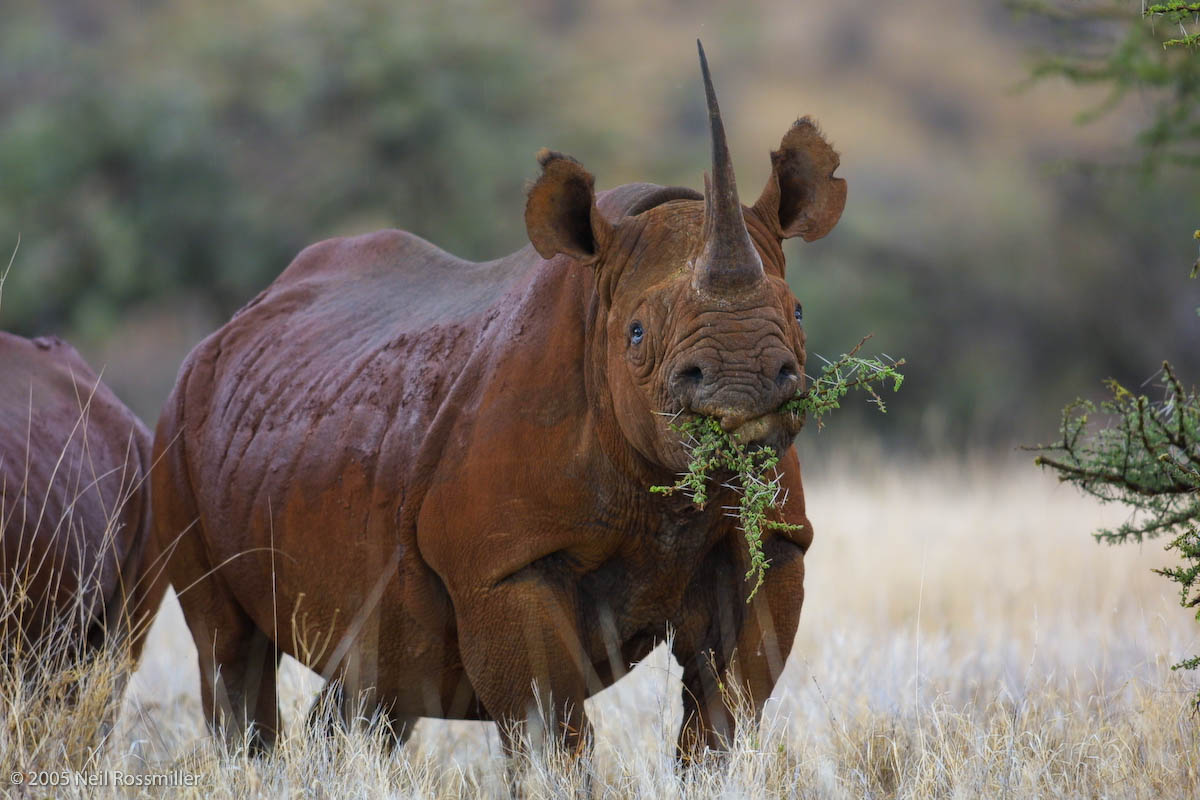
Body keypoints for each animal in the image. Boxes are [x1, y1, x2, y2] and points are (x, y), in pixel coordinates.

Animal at [151, 43, 845, 758]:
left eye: (797, 311)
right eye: (636, 334)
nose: (744, 383)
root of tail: (230, 326)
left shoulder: (777, 539)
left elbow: (727, 705)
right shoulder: (505, 563)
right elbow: (549, 723)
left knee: (379, 676)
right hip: (175, 430)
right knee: (228, 646)